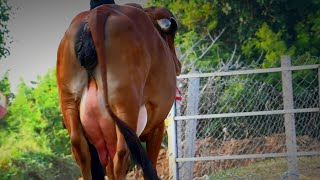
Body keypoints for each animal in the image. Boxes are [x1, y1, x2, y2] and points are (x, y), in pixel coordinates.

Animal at [57, 3, 180, 180]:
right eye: (170, 35)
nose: (178, 65)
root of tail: (97, 13)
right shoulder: (158, 125)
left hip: (69, 103)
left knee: (81, 150)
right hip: (126, 107)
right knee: (121, 155)